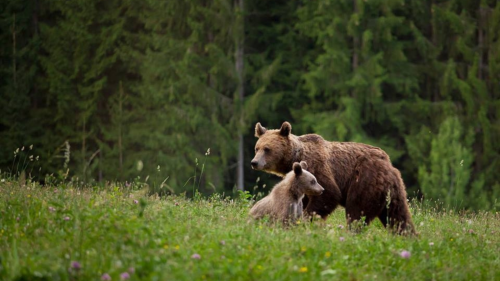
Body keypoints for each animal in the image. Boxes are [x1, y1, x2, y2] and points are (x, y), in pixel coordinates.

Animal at [250, 121, 418, 233]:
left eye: (267, 149)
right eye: (257, 148)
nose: (254, 162)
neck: (294, 157)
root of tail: (388, 164)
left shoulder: (317, 167)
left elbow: (329, 193)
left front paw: (306, 219)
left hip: (364, 181)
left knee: (356, 211)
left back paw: (351, 232)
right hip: (393, 190)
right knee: (398, 215)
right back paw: (407, 235)